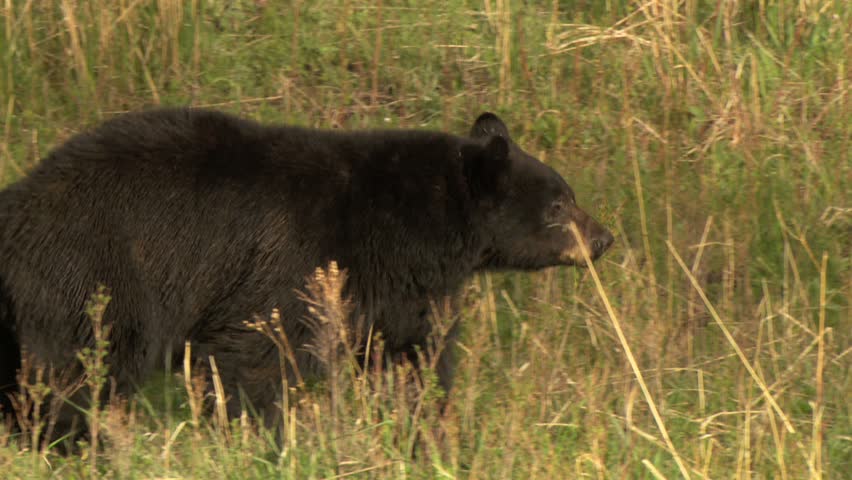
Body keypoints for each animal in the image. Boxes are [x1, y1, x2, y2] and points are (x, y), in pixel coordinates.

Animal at [0, 108, 613, 440]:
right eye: (559, 204)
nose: (603, 238)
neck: (402, 222)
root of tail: (17, 202)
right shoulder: (295, 258)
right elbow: (256, 350)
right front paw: (258, 435)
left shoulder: (393, 288)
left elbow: (412, 355)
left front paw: (426, 429)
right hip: (92, 275)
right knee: (77, 368)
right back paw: (69, 439)